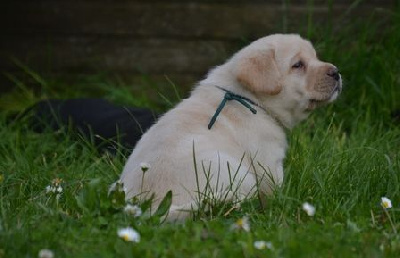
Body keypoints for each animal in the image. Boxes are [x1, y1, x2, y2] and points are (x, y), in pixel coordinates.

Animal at [118, 33, 340, 221]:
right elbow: (275, 189)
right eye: (298, 65)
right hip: (238, 174)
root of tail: (151, 208)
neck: (250, 98)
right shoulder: (268, 162)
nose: (336, 72)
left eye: (315, 57)